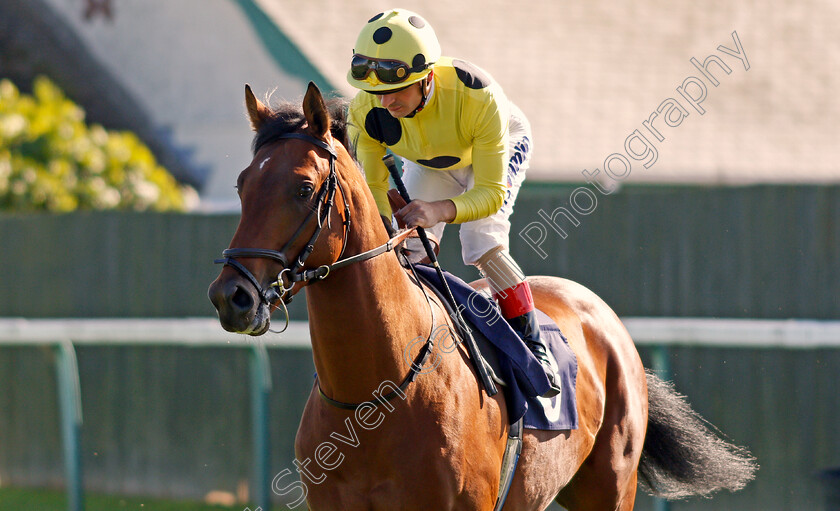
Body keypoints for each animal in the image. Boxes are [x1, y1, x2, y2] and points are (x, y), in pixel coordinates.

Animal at [208, 82, 756, 510]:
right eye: (241, 185)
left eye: (303, 188)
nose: (231, 296)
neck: (374, 396)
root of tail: (600, 312)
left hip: (610, 486)